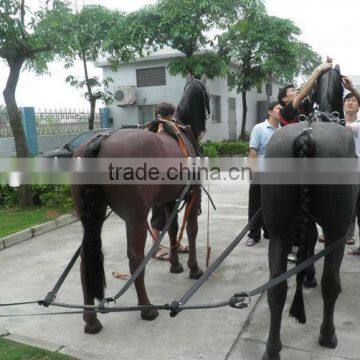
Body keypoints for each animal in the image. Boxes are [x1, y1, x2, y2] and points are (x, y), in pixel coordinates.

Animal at [71, 76, 210, 334]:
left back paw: (91, 320)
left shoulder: (168, 200)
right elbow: (191, 230)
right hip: (135, 217)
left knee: (86, 259)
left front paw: (175, 265)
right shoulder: (192, 195)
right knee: (135, 257)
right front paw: (194, 269)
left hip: (91, 218)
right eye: (207, 95)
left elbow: (172, 230)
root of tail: (100, 142)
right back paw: (146, 308)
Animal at [260, 66, 356, 358]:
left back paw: (272, 347)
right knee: (330, 284)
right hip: (337, 229)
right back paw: (328, 334)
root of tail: (307, 133)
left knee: (277, 288)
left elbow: (310, 238)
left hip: (279, 231)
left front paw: (307, 275)